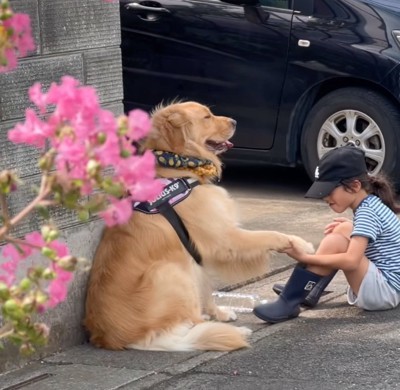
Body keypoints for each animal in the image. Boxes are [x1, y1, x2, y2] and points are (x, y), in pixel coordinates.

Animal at [84, 102, 314, 352]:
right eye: (207, 117)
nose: (235, 121)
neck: (179, 167)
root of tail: (117, 338)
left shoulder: (198, 253)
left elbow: (207, 290)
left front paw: (219, 313)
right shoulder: (226, 238)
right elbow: (271, 235)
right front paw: (301, 244)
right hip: (170, 271)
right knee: (191, 321)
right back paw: (233, 332)